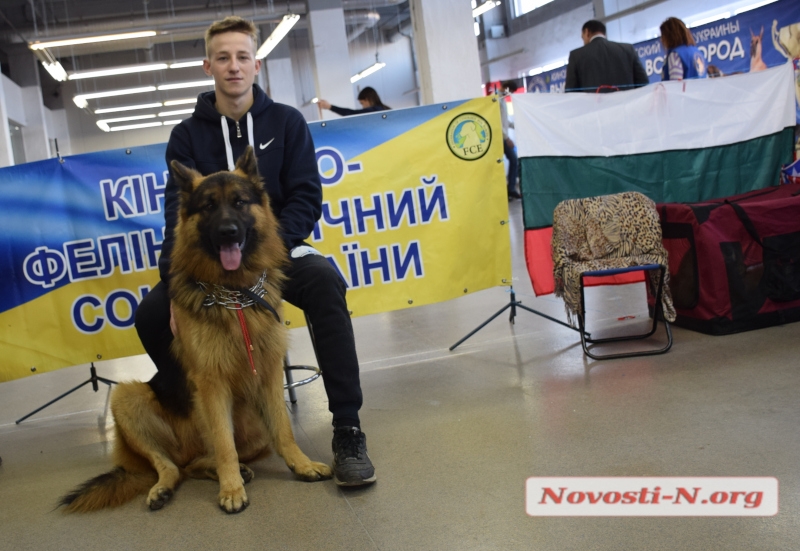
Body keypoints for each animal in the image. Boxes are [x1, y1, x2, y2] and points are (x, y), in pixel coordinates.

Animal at [60, 146, 332, 512]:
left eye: (239, 202)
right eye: (208, 207)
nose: (228, 231)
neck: (234, 293)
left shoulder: (271, 374)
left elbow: (284, 428)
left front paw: (300, 464)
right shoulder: (211, 385)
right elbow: (223, 442)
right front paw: (231, 490)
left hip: (251, 426)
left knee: (196, 463)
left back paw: (225, 470)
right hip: (127, 396)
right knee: (173, 465)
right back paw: (171, 486)